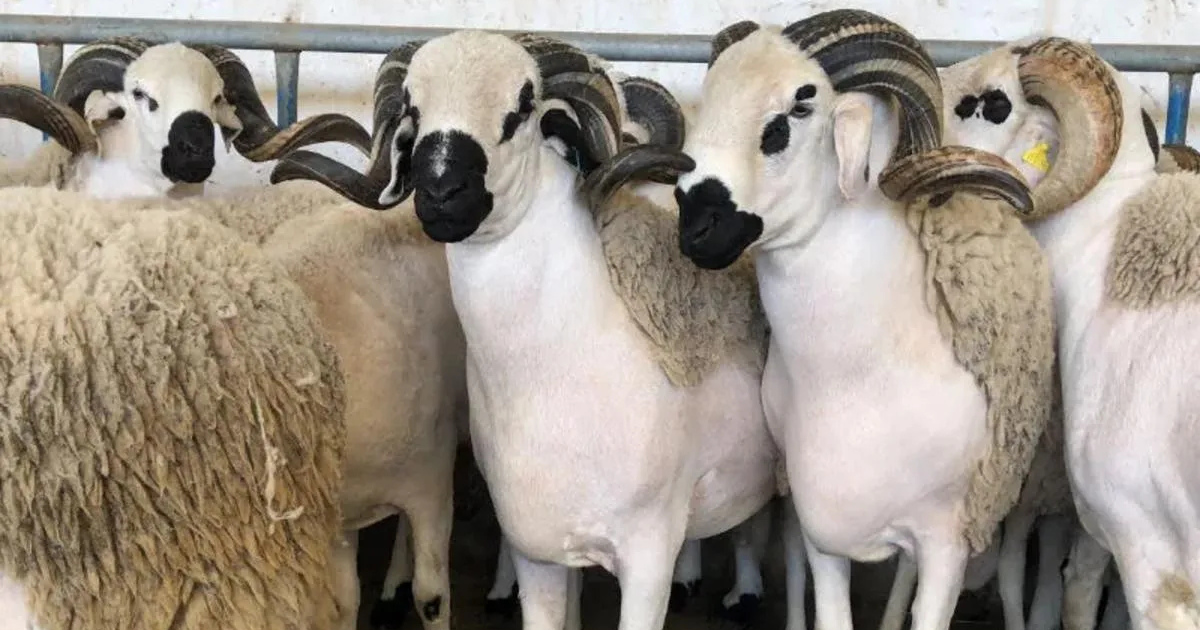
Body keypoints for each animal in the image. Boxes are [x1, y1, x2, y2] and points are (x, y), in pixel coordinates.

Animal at [577, 10, 1059, 630]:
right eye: (712, 94)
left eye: (799, 109)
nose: (695, 227)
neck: (859, 378)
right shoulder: (819, 531)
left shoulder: (948, 541)